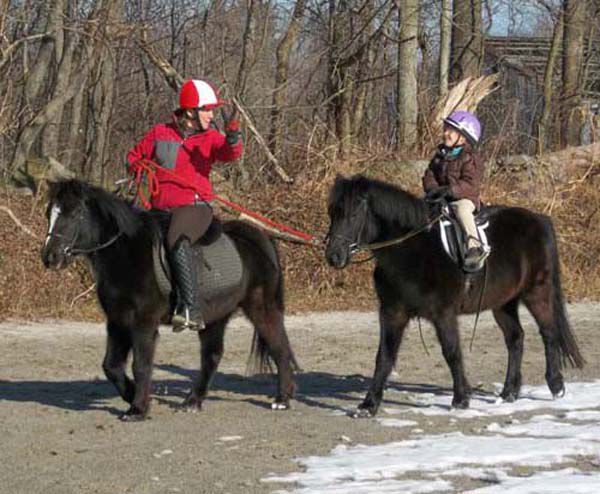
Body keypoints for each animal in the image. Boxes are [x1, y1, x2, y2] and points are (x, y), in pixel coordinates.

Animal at [39, 180, 298, 420]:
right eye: (49, 212)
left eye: (74, 213)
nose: (50, 257)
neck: (126, 253)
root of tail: (261, 237)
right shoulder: (117, 321)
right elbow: (111, 366)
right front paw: (133, 395)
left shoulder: (143, 322)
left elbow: (141, 365)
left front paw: (138, 409)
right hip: (216, 316)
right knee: (212, 355)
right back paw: (193, 401)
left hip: (262, 308)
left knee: (279, 347)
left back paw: (281, 399)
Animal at [326, 176, 584, 414]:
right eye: (332, 213)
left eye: (353, 213)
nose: (333, 256)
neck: (412, 251)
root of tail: (539, 219)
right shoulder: (392, 313)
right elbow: (384, 356)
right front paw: (369, 405)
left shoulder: (443, 313)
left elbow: (451, 352)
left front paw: (461, 399)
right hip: (503, 303)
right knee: (515, 338)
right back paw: (509, 392)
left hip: (536, 292)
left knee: (548, 332)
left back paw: (556, 385)